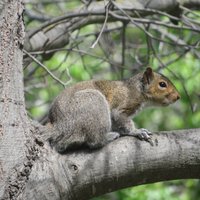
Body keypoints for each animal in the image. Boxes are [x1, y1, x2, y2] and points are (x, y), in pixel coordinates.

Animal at [47, 67, 180, 153]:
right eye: (162, 84)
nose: (178, 97)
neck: (136, 89)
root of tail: (60, 127)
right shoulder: (122, 107)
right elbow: (123, 121)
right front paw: (137, 131)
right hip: (94, 103)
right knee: (95, 141)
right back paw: (109, 137)